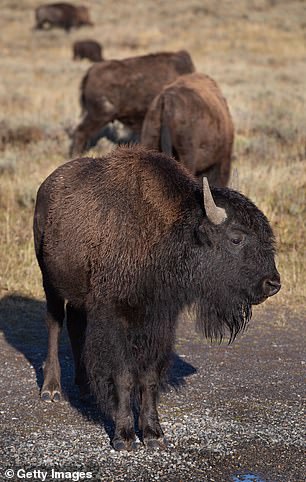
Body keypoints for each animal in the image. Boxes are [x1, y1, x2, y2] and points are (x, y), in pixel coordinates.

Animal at [32, 145, 280, 450]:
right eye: (236, 238)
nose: (273, 283)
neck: (170, 231)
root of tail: (46, 187)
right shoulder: (115, 317)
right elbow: (125, 376)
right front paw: (124, 437)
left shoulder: (160, 321)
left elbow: (149, 377)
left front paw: (153, 434)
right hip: (50, 282)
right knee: (54, 324)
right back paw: (52, 389)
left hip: (79, 295)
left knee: (76, 326)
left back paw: (84, 389)